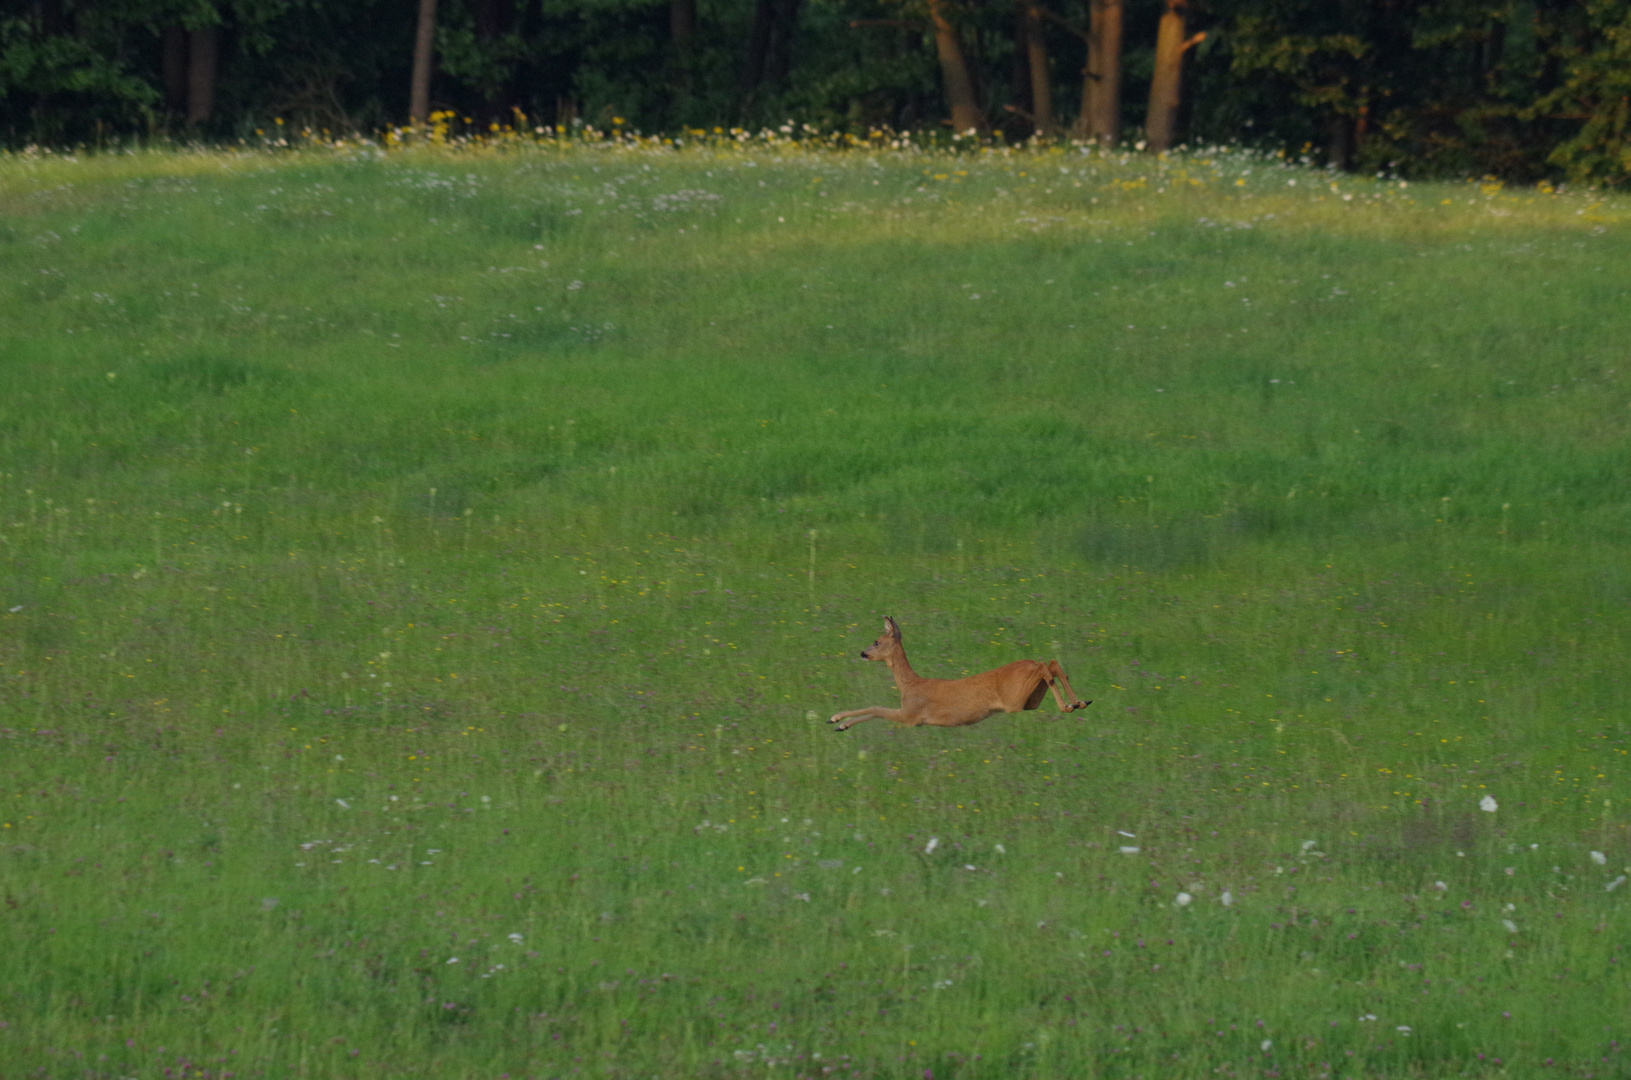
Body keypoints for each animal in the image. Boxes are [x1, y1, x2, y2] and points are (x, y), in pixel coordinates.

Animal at [828, 616, 1096, 737]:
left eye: (876, 641)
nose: (862, 653)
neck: (910, 685)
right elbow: (876, 710)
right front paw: (841, 724)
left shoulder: (912, 715)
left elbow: (877, 708)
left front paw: (836, 718)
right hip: (1031, 699)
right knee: (1052, 663)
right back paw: (1080, 702)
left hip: (1014, 699)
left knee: (1045, 665)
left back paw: (1070, 705)